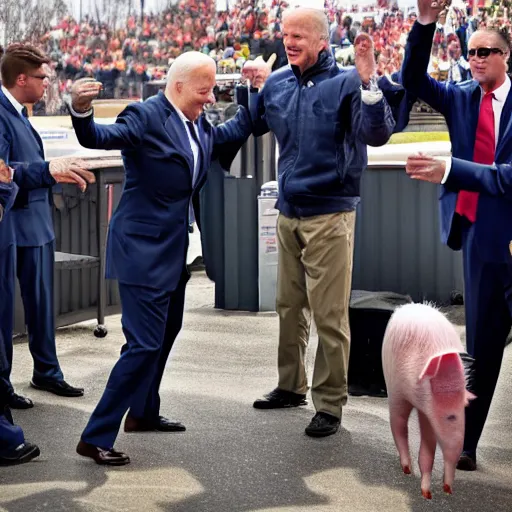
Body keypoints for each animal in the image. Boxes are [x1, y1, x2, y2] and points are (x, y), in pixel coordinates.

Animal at [380, 304, 476, 500]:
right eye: (450, 416)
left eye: (464, 409)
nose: (448, 490)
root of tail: (407, 306)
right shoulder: (426, 406)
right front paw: (427, 495)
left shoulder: (428, 410)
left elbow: (427, 449)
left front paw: (436, 492)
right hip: (392, 383)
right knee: (398, 423)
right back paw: (407, 469)